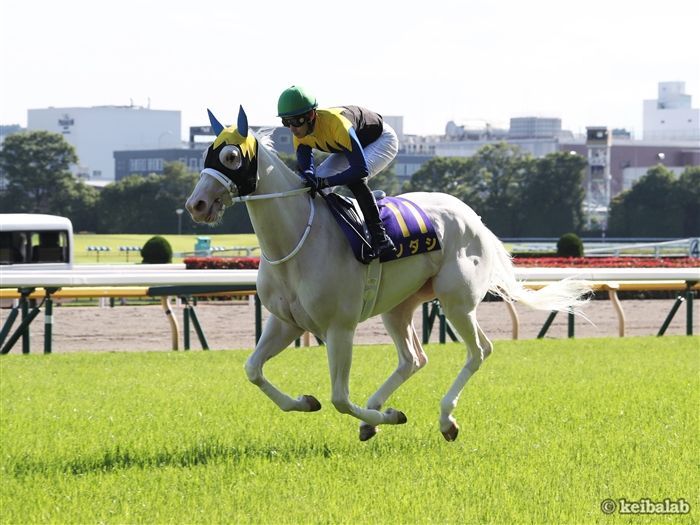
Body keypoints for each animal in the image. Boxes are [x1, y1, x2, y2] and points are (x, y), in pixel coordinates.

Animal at [186, 107, 592, 442]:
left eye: (231, 156)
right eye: (205, 155)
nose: (196, 204)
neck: (298, 240)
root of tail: (472, 216)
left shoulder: (339, 327)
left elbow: (339, 398)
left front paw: (389, 417)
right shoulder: (286, 321)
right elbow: (253, 370)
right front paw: (308, 402)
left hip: (456, 301)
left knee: (479, 350)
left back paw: (445, 419)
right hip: (399, 306)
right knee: (413, 359)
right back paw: (379, 412)